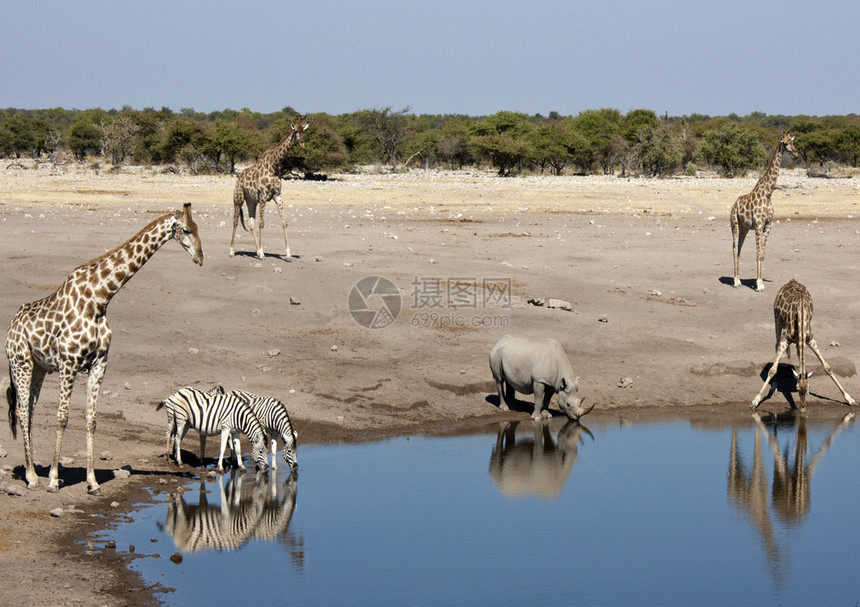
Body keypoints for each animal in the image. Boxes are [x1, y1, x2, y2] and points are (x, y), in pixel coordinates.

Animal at [5, 204, 203, 494]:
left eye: (198, 228)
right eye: (186, 230)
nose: (200, 257)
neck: (99, 299)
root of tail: (10, 328)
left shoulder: (98, 364)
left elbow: (91, 420)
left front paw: (92, 482)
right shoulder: (68, 364)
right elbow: (62, 417)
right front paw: (53, 479)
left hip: (39, 368)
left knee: (27, 410)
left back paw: (33, 472)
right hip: (21, 363)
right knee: (21, 411)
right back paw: (31, 476)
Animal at [228, 117, 310, 260]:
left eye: (303, 131)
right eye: (295, 131)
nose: (302, 143)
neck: (274, 165)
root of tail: (239, 178)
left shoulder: (278, 195)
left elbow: (284, 222)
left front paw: (288, 253)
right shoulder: (263, 196)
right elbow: (262, 223)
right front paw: (262, 253)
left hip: (251, 201)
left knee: (250, 222)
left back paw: (256, 250)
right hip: (238, 198)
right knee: (235, 220)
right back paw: (232, 251)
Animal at [732, 132, 800, 292]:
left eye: (793, 142)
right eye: (786, 143)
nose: (796, 153)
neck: (768, 194)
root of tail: (734, 205)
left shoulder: (768, 225)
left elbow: (762, 254)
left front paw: (761, 281)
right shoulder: (758, 225)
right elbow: (758, 253)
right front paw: (759, 285)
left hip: (744, 228)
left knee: (739, 248)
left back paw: (739, 280)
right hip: (735, 224)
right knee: (734, 249)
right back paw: (735, 281)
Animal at [748, 280, 856, 414]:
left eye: (808, 390)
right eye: (798, 390)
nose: (803, 409)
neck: (801, 314)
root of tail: (792, 280)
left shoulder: (810, 339)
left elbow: (828, 368)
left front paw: (850, 399)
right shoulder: (785, 340)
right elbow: (772, 370)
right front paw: (755, 401)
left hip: (799, 341)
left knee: (799, 355)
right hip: (777, 321)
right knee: (776, 346)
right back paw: (775, 386)